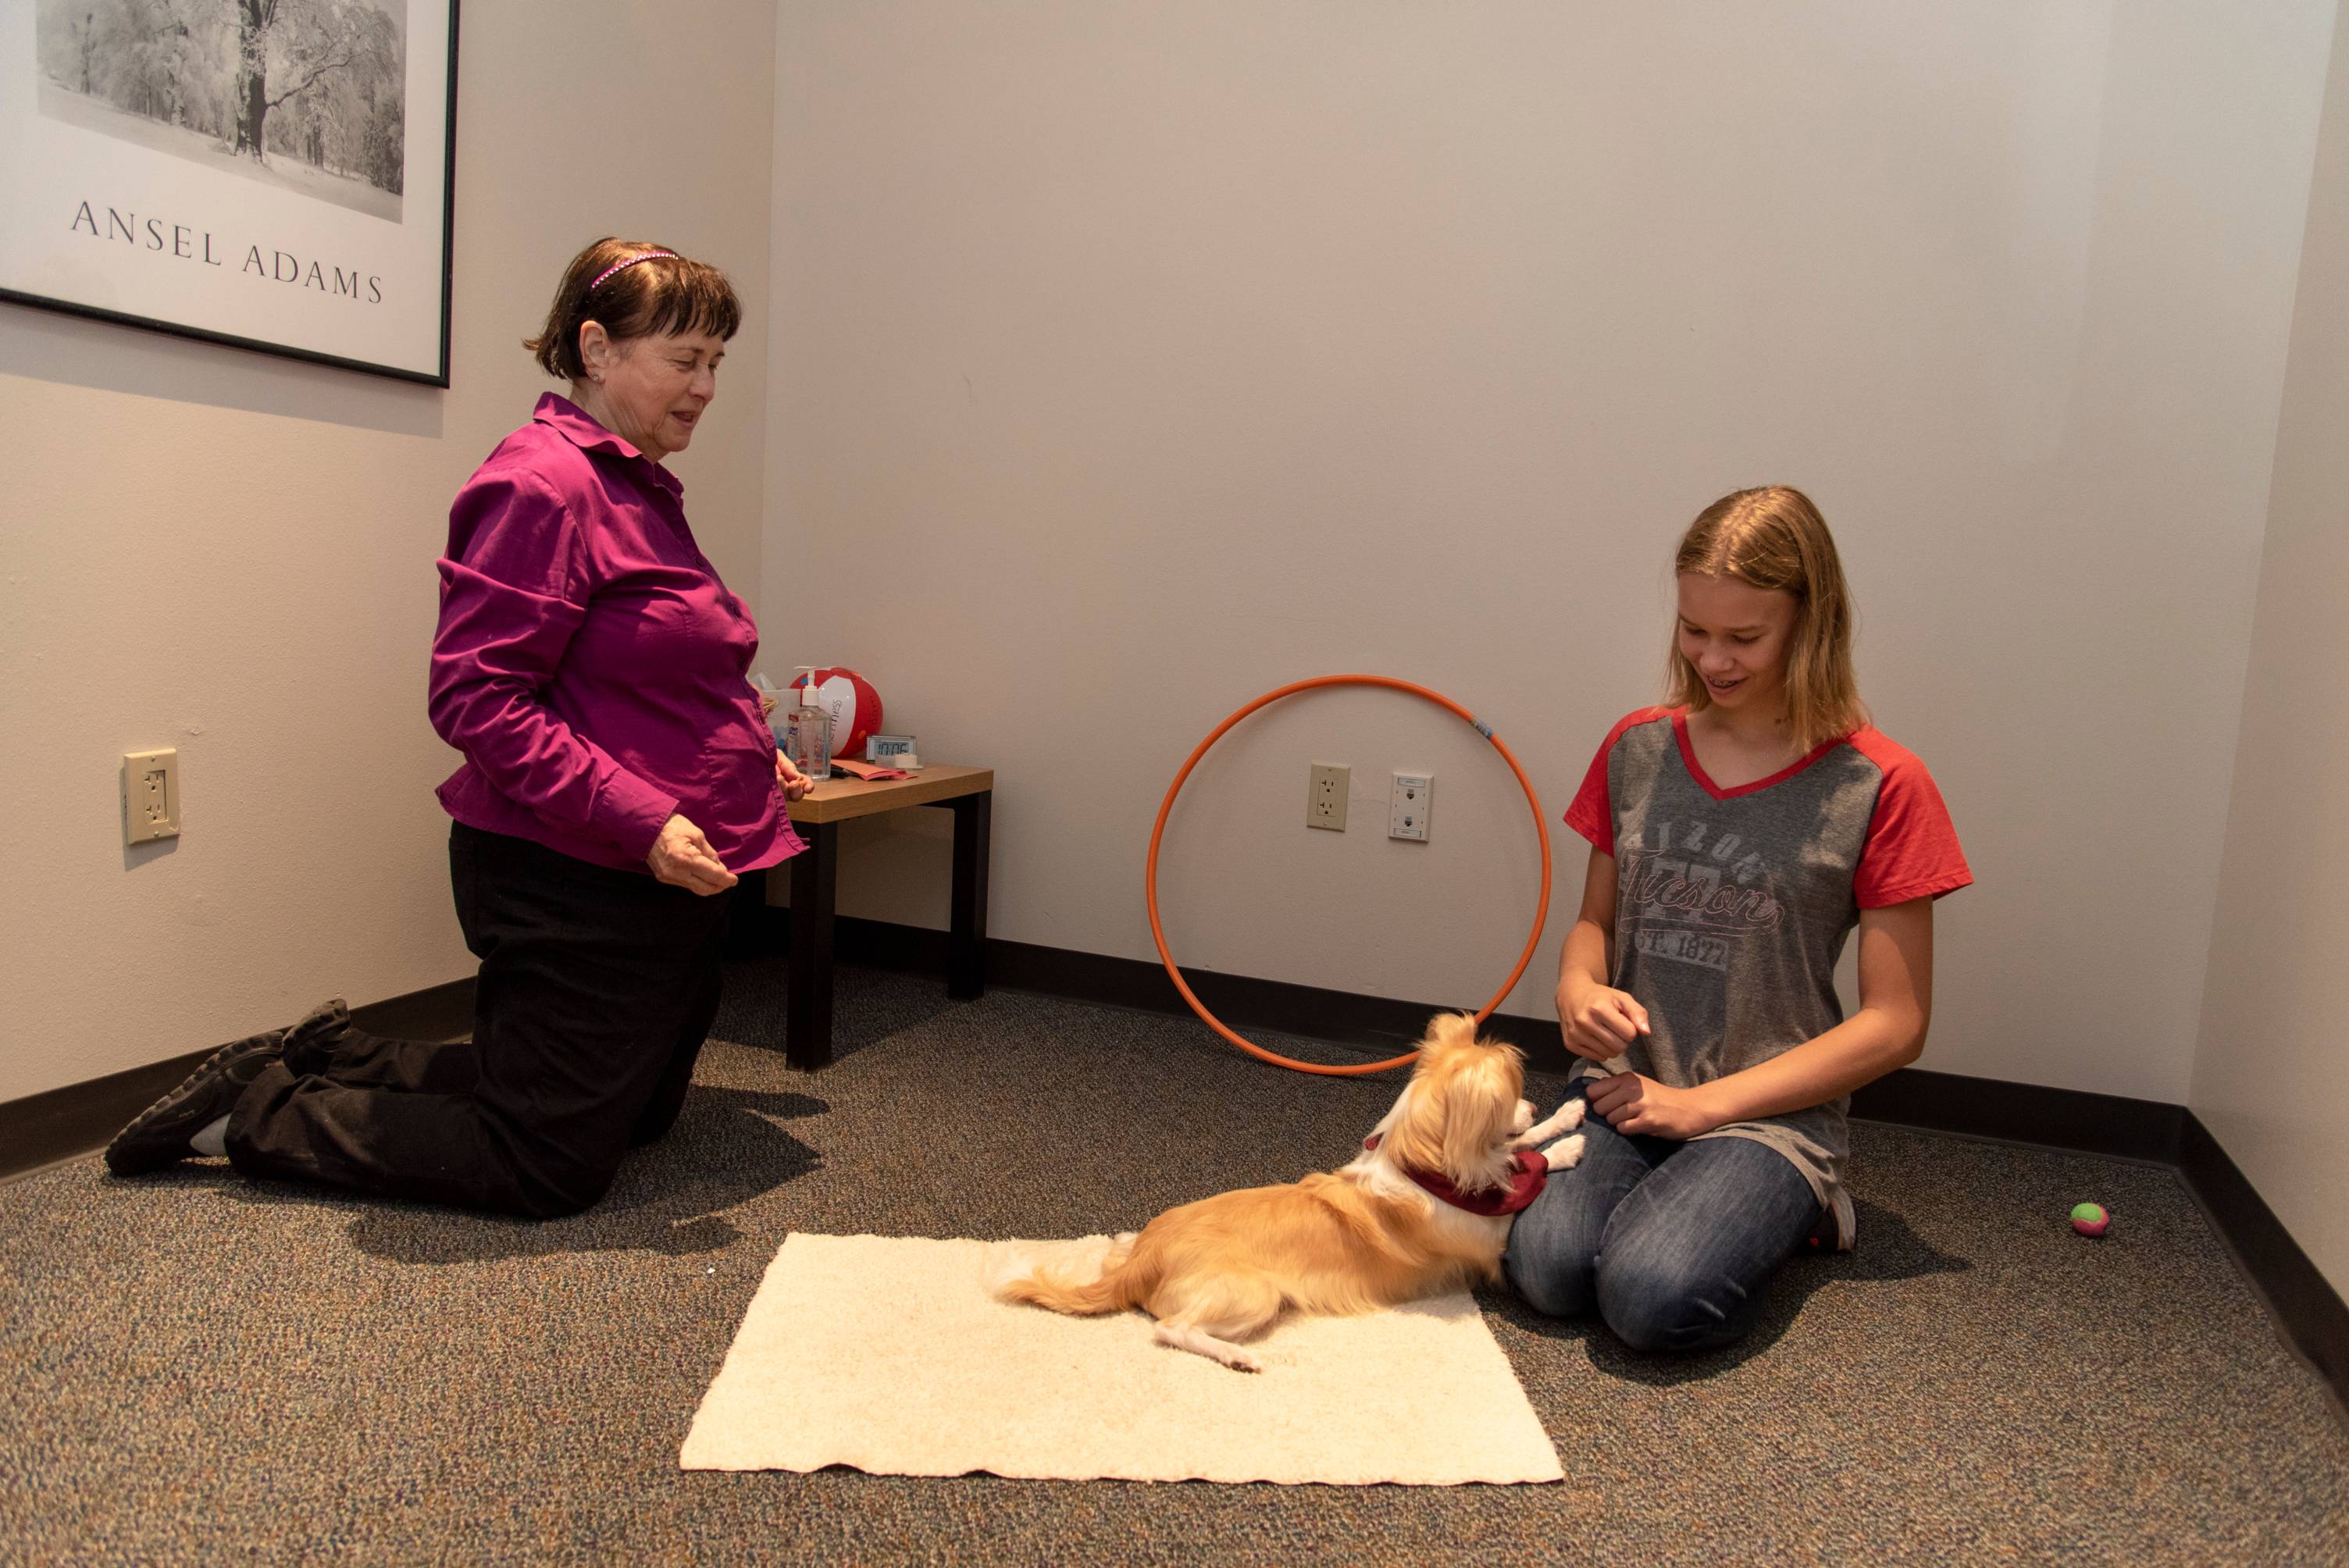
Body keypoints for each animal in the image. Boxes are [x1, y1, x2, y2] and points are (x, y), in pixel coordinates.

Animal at [991, 1018, 1578, 1370]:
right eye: (1510, 1100)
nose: (1531, 1106)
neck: (1417, 1166)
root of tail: (1141, 1264)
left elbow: (1522, 1152)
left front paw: (1568, 1117)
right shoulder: (1486, 1241)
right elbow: (1522, 1185)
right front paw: (1566, 1149)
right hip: (1256, 1294)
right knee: (1173, 1331)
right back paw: (1235, 1356)